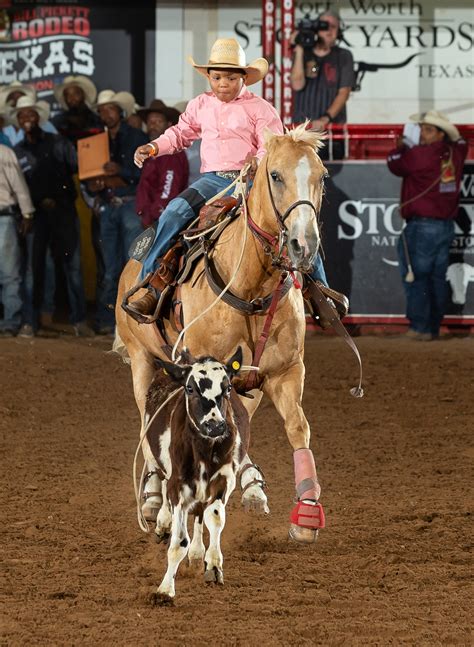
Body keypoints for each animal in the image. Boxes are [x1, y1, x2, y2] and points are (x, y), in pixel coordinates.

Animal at [116, 124, 328, 544]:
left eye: (322, 177)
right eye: (275, 175)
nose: (304, 245)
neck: (250, 284)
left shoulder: (284, 372)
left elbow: (298, 428)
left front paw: (307, 514)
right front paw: (170, 513)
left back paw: (250, 485)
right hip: (141, 361)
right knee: (148, 422)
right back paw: (152, 499)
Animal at [143, 350, 248, 604]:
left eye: (228, 387)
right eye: (190, 388)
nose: (215, 426)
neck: (204, 449)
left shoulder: (223, 480)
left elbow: (214, 518)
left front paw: (213, 565)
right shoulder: (178, 485)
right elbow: (179, 541)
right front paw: (165, 590)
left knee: (200, 513)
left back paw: (198, 553)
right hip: (155, 459)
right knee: (162, 486)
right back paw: (163, 523)